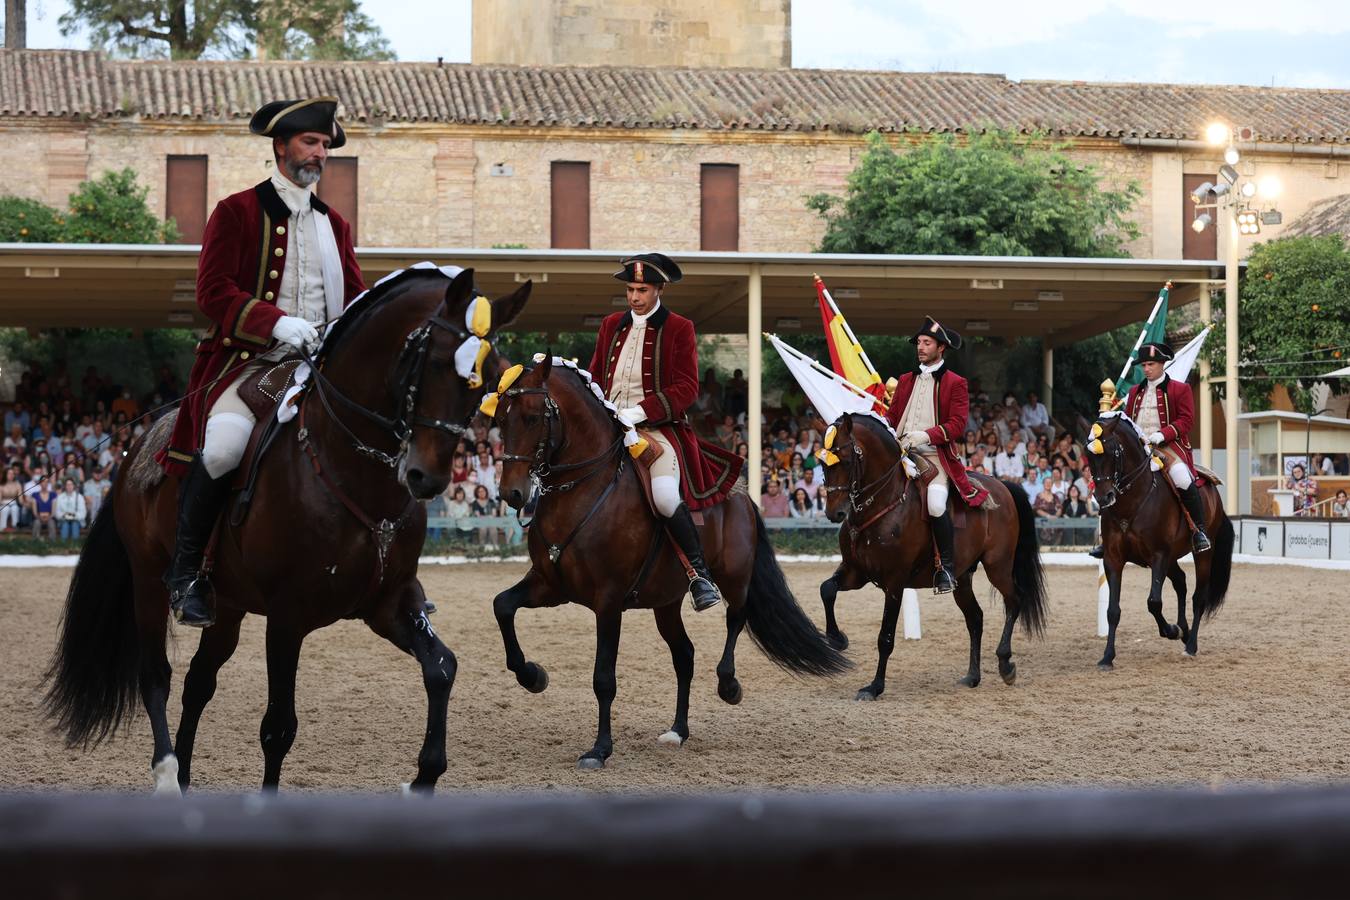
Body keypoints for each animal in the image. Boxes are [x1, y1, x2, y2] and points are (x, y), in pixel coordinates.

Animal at [42, 267, 526, 793]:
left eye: (488, 378)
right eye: (435, 361)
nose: (427, 478)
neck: (352, 470)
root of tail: (140, 443)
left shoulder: (389, 602)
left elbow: (441, 668)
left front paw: (425, 776)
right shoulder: (288, 617)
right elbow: (278, 727)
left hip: (227, 605)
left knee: (198, 681)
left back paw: (186, 773)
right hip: (149, 582)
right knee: (156, 676)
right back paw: (168, 774)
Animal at [483, 356, 842, 771]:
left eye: (531, 417)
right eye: (500, 419)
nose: (511, 493)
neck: (582, 491)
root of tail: (740, 493)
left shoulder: (608, 602)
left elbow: (603, 677)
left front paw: (599, 749)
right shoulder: (549, 584)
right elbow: (502, 606)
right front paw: (532, 676)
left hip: (734, 577)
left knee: (736, 618)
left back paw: (728, 684)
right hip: (665, 602)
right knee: (684, 655)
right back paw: (678, 731)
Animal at [810, 412, 1042, 701]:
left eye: (848, 460)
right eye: (822, 462)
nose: (835, 513)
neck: (881, 505)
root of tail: (1003, 486)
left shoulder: (894, 582)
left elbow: (885, 637)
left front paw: (874, 687)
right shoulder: (855, 572)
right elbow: (826, 589)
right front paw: (837, 638)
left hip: (997, 566)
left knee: (1014, 601)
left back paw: (1005, 664)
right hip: (962, 579)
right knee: (975, 618)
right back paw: (972, 676)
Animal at [1085, 410, 1236, 669]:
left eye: (1114, 452)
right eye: (1088, 456)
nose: (1104, 498)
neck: (1132, 502)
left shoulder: (1159, 556)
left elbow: (1154, 602)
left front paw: (1171, 630)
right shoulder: (1113, 558)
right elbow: (1112, 611)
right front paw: (1107, 657)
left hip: (1202, 554)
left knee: (1199, 596)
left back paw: (1190, 644)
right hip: (1172, 558)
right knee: (1181, 582)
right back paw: (1185, 631)